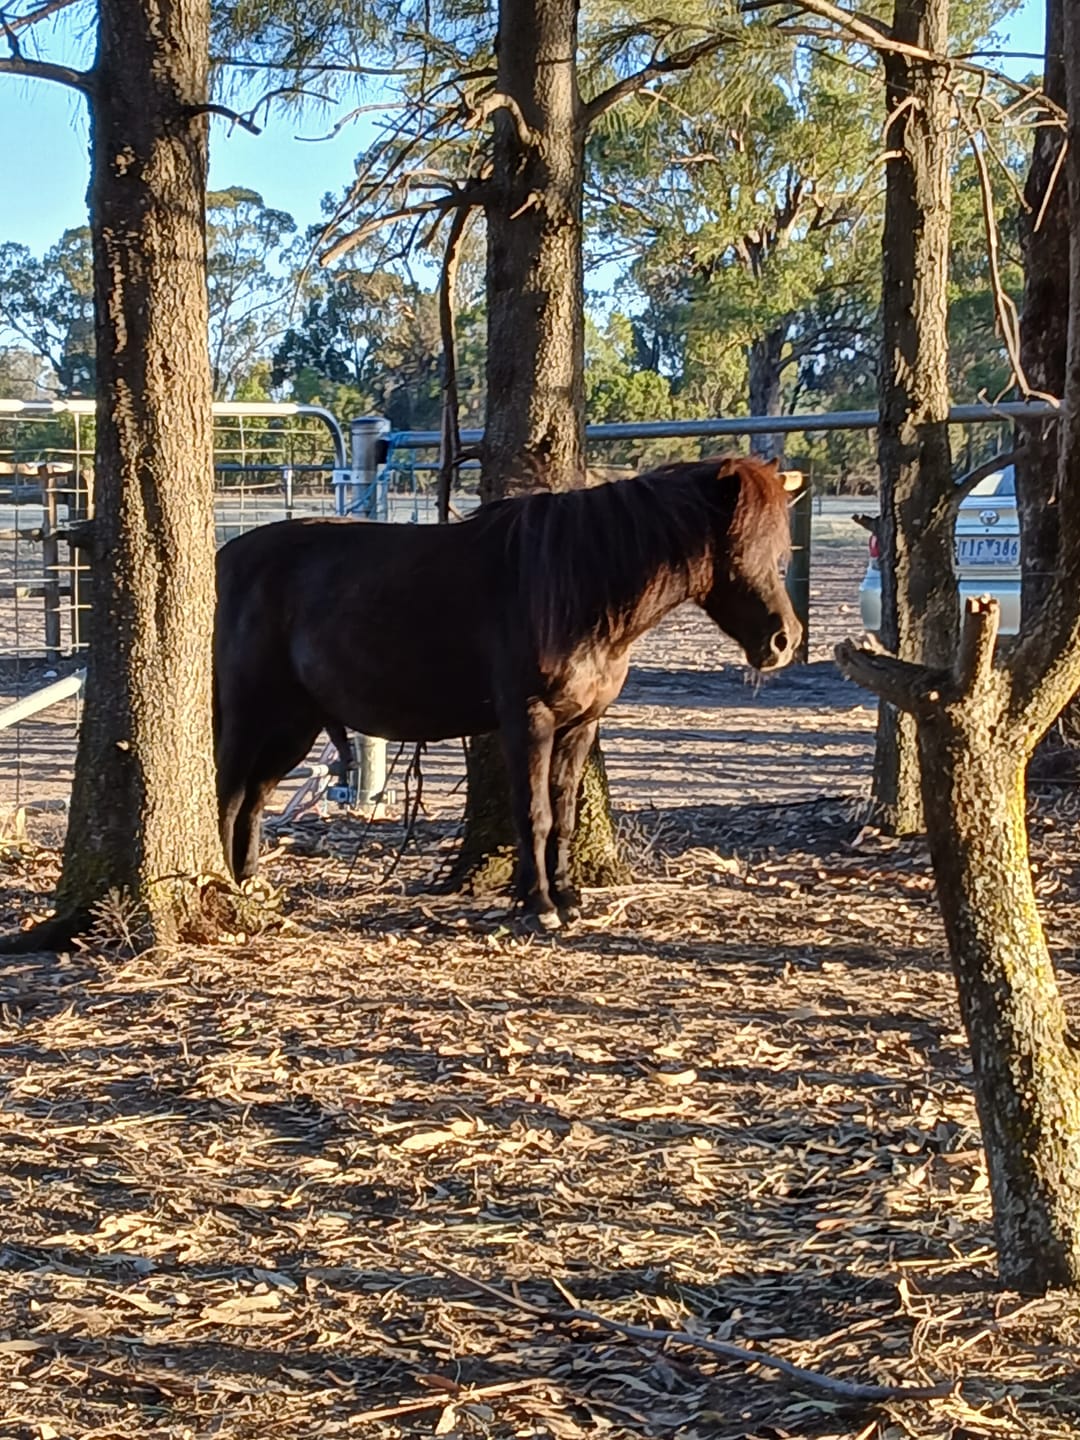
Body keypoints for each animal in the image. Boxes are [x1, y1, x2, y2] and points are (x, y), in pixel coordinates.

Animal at [213, 455, 802, 926]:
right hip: (246, 714)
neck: (574, 590)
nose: (784, 640)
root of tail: (222, 559)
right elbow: (534, 813)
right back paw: (223, 883)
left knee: (255, 800)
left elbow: (564, 814)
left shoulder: (580, 725)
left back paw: (249, 885)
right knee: (228, 794)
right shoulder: (529, 720)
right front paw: (538, 904)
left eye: (779, 552)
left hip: (294, 723)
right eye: (737, 549)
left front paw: (566, 897)